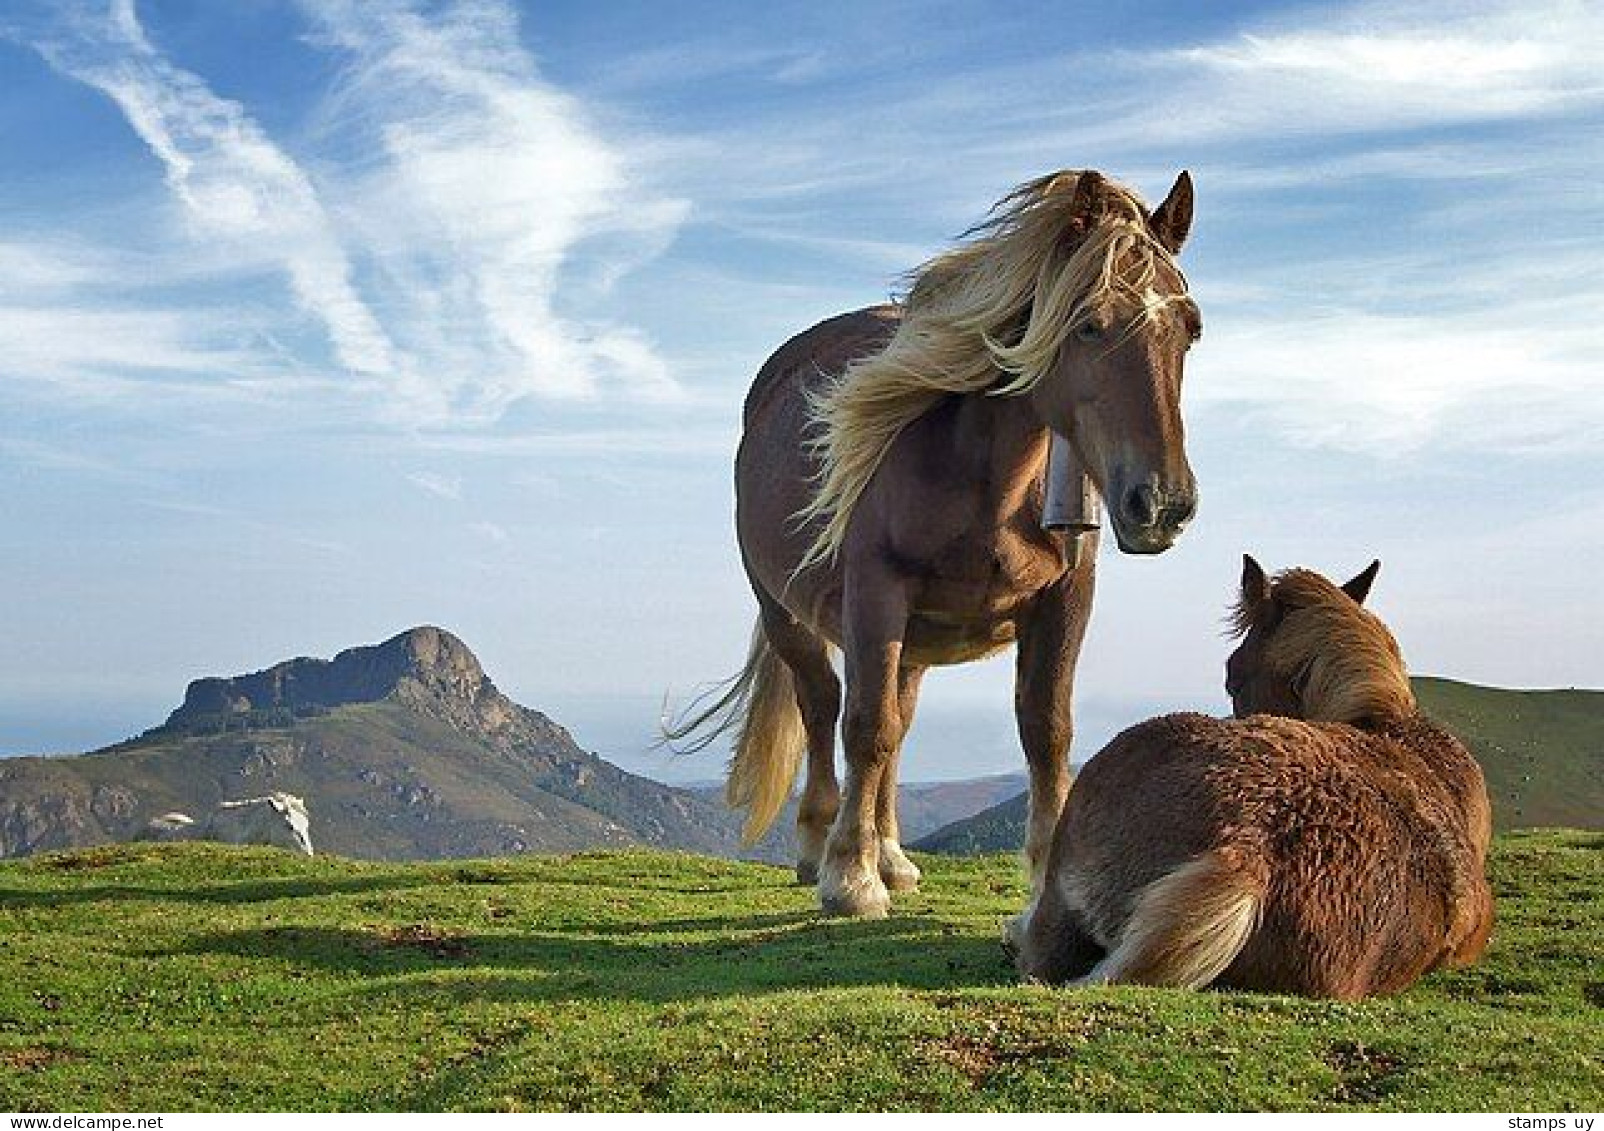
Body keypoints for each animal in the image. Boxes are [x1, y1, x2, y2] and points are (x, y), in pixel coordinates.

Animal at [664, 170, 1206, 917]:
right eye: (1089, 323)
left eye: (1190, 330)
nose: (1161, 504)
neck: (985, 478)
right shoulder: (875, 594)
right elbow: (864, 726)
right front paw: (850, 877)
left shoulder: (1066, 598)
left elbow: (1046, 729)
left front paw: (1042, 879)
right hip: (788, 615)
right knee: (823, 706)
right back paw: (820, 844)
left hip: (918, 638)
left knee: (900, 722)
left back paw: (892, 853)